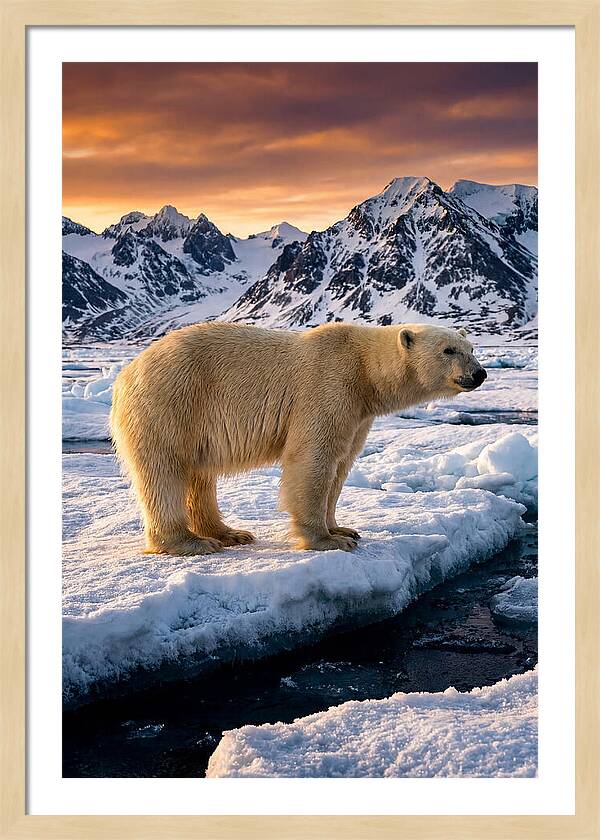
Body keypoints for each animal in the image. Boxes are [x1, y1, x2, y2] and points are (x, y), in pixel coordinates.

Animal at [110, 322, 487, 555]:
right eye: (448, 350)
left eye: (471, 347)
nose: (480, 373)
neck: (364, 370)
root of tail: (127, 373)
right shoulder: (328, 385)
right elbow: (313, 459)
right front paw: (326, 541)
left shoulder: (358, 413)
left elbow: (341, 465)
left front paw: (343, 529)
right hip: (172, 401)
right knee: (165, 470)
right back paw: (189, 542)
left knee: (200, 475)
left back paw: (228, 533)